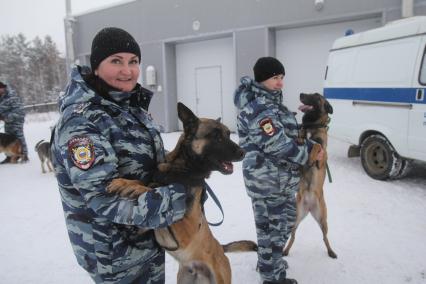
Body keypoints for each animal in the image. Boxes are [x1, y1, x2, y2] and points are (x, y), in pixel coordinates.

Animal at [108, 102, 258, 284]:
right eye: (216, 136)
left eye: (229, 134)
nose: (243, 152)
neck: (183, 169)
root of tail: (221, 248)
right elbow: (149, 184)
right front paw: (127, 183)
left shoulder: (188, 230)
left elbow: (152, 189)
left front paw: (137, 188)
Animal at [282, 93, 336, 260]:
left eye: (316, 96)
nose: (301, 94)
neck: (312, 126)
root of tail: (310, 205)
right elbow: (301, 137)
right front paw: (301, 138)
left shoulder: (322, 156)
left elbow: (316, 145)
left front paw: (311, 156)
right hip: (296, 218)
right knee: (292, 236)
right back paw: (285, 250)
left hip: (323, 220)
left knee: (325, 237)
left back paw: (331, 251)